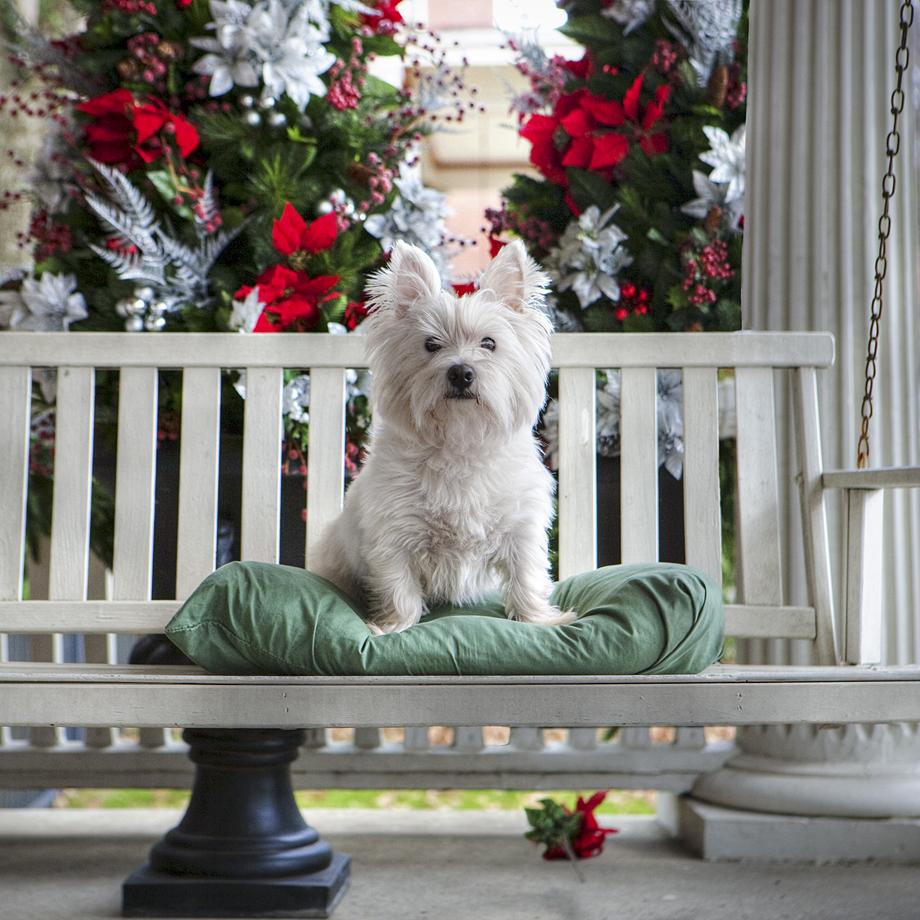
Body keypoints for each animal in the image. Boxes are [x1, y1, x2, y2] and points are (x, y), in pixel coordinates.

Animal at [316, 239, 576, 632]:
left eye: (489, 343)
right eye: (431, 344)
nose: (461, 373)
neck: (459, 441)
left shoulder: (522, 528)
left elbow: (527, 575)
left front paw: (540, 619)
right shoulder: (394, 532)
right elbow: (398, 586)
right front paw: (392, 626)